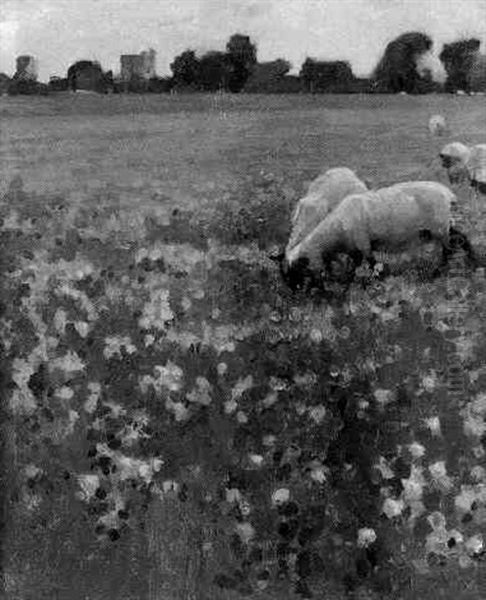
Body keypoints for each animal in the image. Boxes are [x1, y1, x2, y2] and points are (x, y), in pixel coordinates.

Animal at [280, 179, 474, 290]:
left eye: (294, 270)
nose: (294, 292)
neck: (337, 230)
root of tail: (448, 194)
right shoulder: (355, 249)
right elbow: (354, 267)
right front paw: (348, 284)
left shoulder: (364, 244)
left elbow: (373, 264)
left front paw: (377, 282)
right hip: (442, 227)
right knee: (462, 239)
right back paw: (474, 261)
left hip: (439, 227)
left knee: (449, 250)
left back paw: (436, 274)